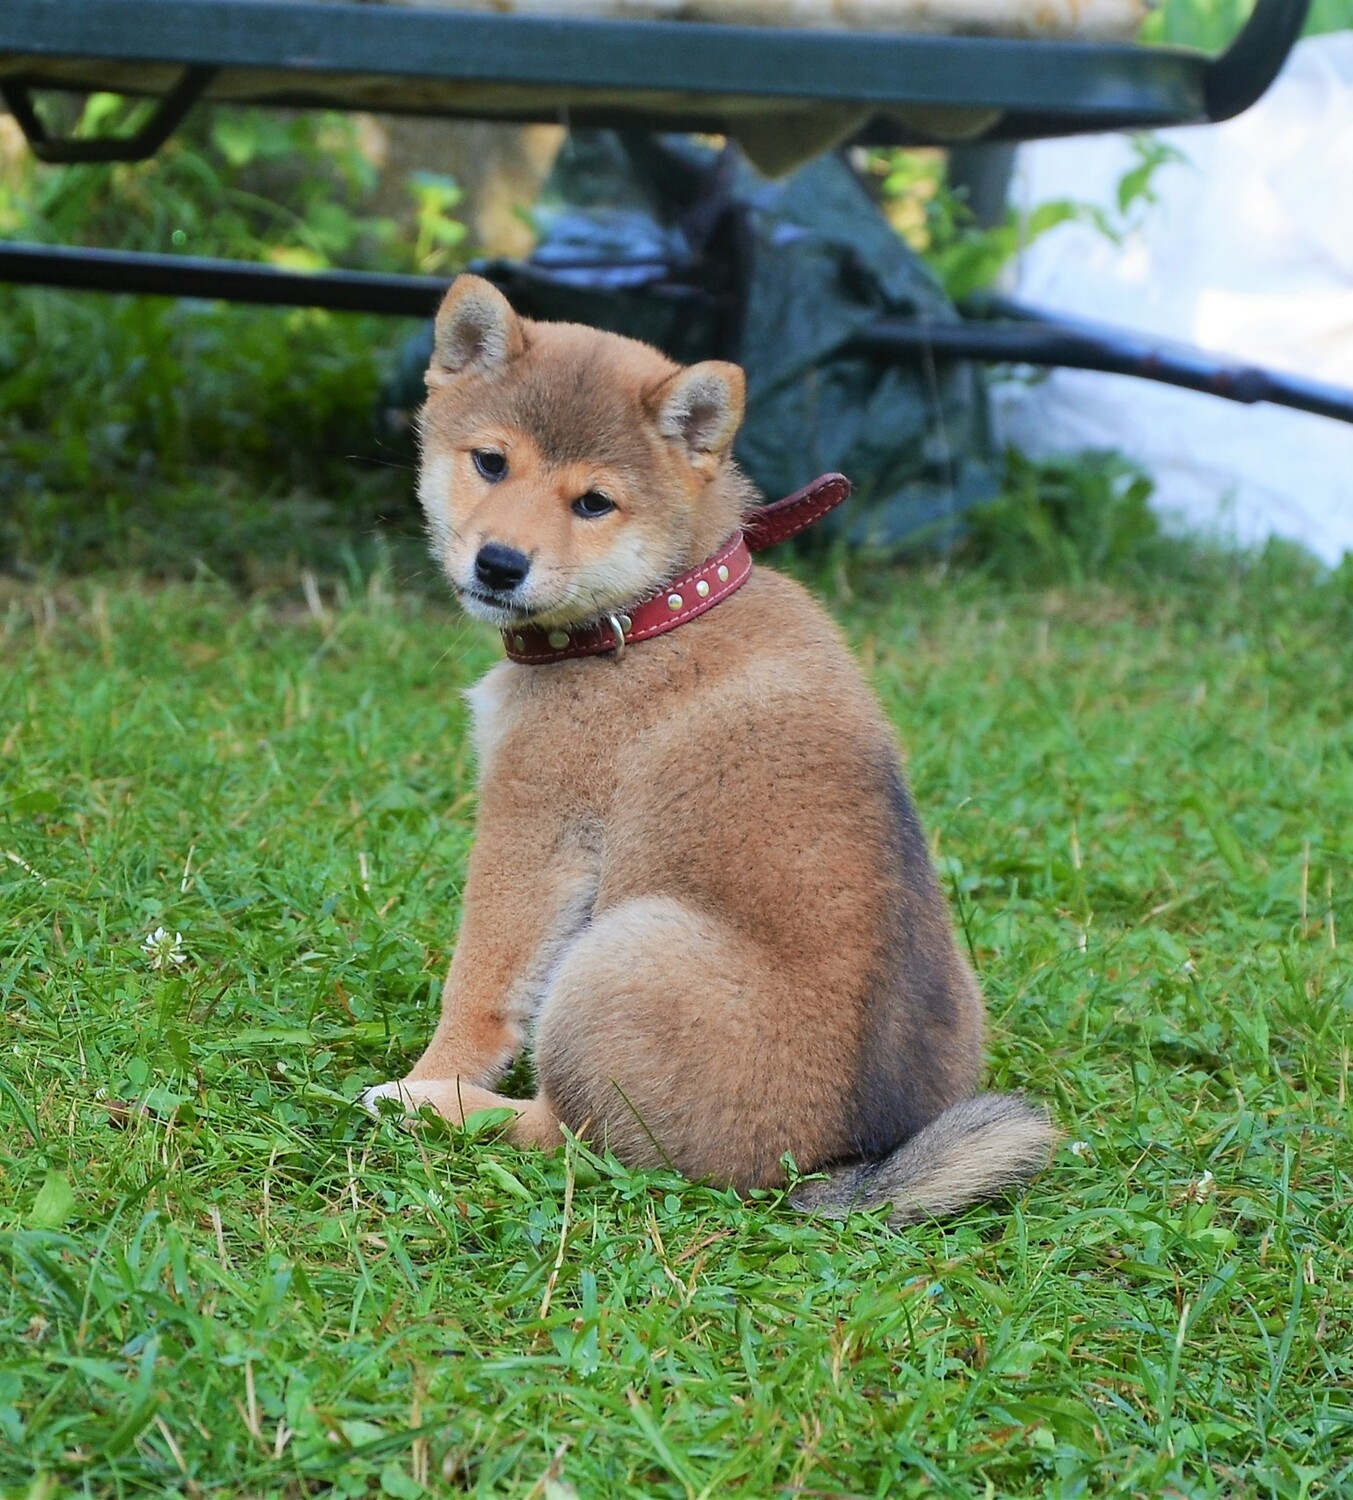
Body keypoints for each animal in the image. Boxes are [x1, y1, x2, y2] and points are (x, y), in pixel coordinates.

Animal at [363, 276, 1062, 1224]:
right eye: (491, 463)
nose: (500, 564)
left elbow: (477, 986)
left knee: (565, 1135)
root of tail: (824, 1167)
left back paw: (435, 1108)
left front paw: (428, 1074)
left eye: (593, 502)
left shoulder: (534, 824)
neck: (657, 611)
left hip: (621, 949)